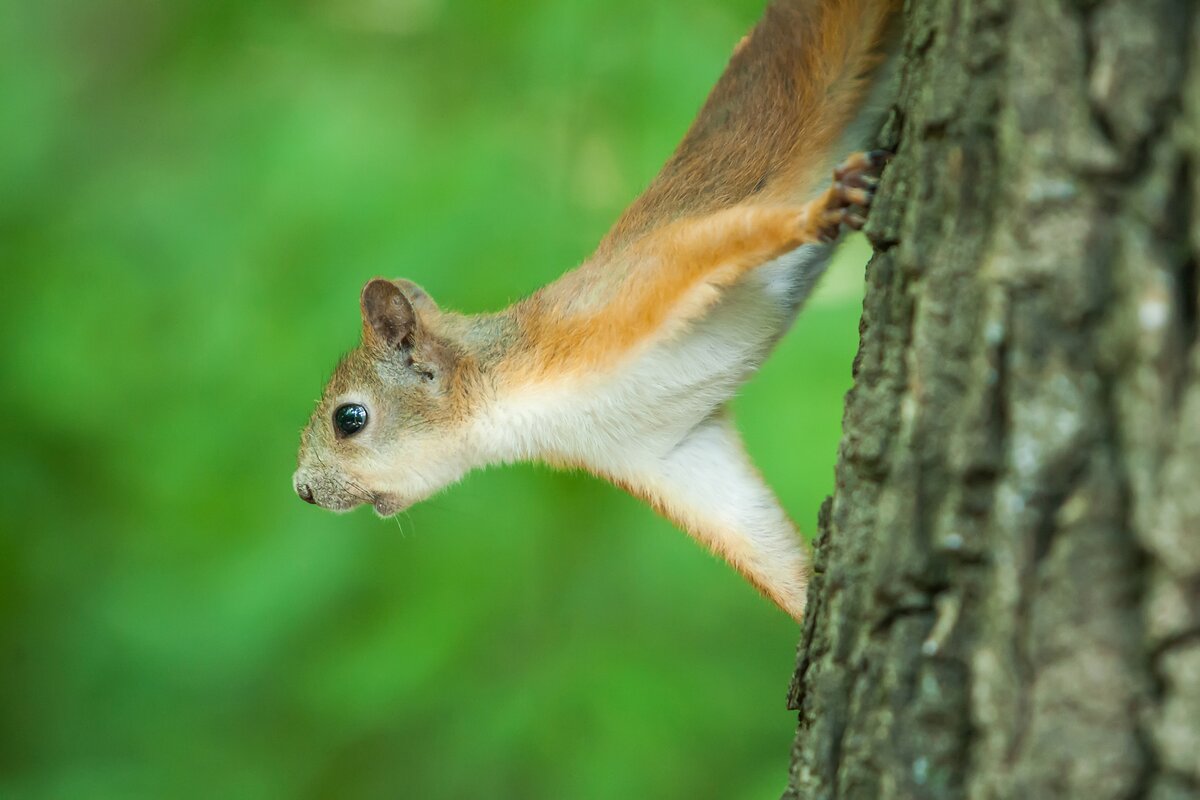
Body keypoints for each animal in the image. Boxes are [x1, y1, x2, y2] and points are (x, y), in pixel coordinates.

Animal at [292, 0, 902, 618]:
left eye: (350, 419)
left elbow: (718, 239)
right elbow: (758, 541)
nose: (303, 490)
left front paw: (816, 213)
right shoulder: (661, 451)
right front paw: (807, 609)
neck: (527, 405)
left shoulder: (626, 294)